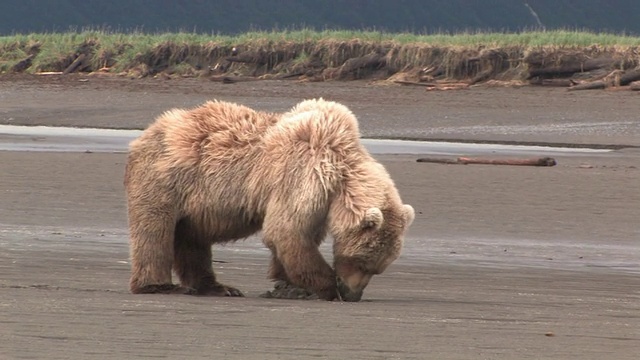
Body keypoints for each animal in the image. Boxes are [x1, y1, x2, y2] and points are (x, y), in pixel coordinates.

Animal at [124, 97, 416, 300]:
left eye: (377, 268)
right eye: (362, 263)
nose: (353, 295)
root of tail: (147, 132)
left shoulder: (320, 200)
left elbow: (296, 235)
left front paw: (287, 285)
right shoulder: (303, 174)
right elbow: (287, 230)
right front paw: (326, 286)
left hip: (193, 204)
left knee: (191, 239)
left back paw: (218, 287)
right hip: (164, 179)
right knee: (154, 231)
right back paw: (159, 285)